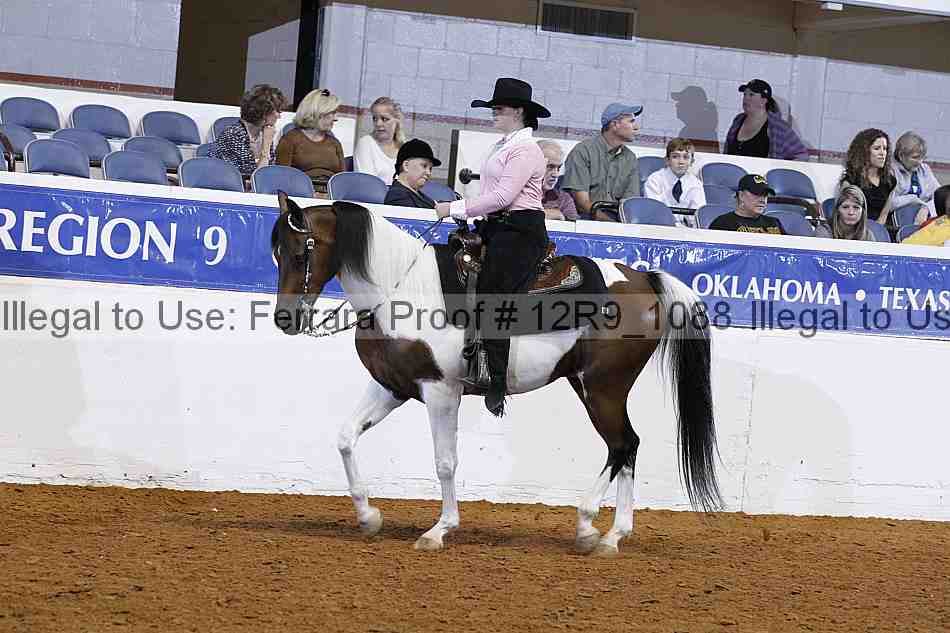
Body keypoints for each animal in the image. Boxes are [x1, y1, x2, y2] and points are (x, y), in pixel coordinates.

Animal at [270, 192, 721, 556]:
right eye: (276, 254)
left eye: (299, 254)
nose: (284, 319)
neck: (402, 289)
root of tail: (645, 278)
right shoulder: (392, 387)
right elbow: (346, 438)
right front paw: (368, 517)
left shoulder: (441, 391)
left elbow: (445, 461)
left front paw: (439, 530)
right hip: (589, 384)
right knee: (625, 448)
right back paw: (611, 534)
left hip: (603, 387)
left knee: (624, 444)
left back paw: (591, 528)